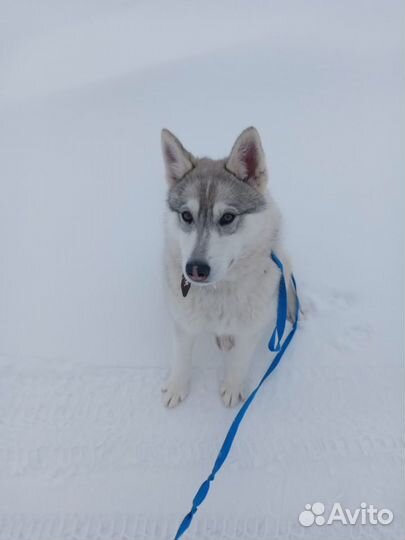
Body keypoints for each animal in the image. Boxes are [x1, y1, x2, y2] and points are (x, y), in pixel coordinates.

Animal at [159, 126, 296, 404]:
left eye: (228, 217)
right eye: (186, 216)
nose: (195, 269)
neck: (218, 292)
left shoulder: (250, 331)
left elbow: (239, 362)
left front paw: (233, 388)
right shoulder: (183, 323)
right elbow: (181, 358)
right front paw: (177, 387)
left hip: (283, 266)